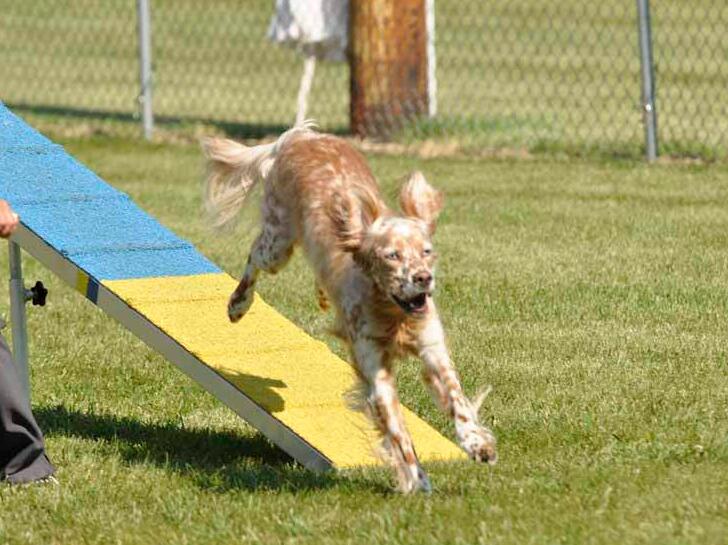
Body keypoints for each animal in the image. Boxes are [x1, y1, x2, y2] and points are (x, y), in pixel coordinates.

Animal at [202, 125, 496, 493]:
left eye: (426, 251)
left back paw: (322, 296)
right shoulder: (375, 368)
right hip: (277, 244)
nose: (424, 279)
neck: (392, 313)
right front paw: (416, 480)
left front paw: (477, 443)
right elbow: (398, 431)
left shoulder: (432, 348)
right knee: (254, 256)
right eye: (392, 255)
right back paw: (238, 303)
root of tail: (300, 137)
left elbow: (458, 400)